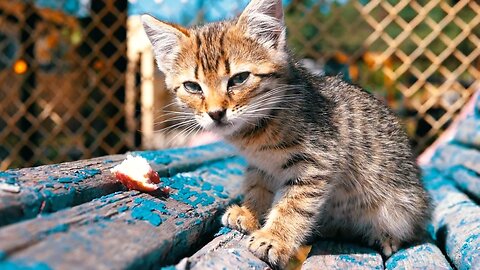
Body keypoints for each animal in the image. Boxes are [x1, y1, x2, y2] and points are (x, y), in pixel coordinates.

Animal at [142, 0, 432, 268]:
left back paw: (387, 237)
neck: (257, 130)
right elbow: (257, 185)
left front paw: (275, 238)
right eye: (192, 87)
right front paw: (250, 213)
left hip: (402, 206)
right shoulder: (260, 164)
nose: (215, 113)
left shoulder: (317, 162)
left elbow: (293, 205)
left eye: (239, 79)